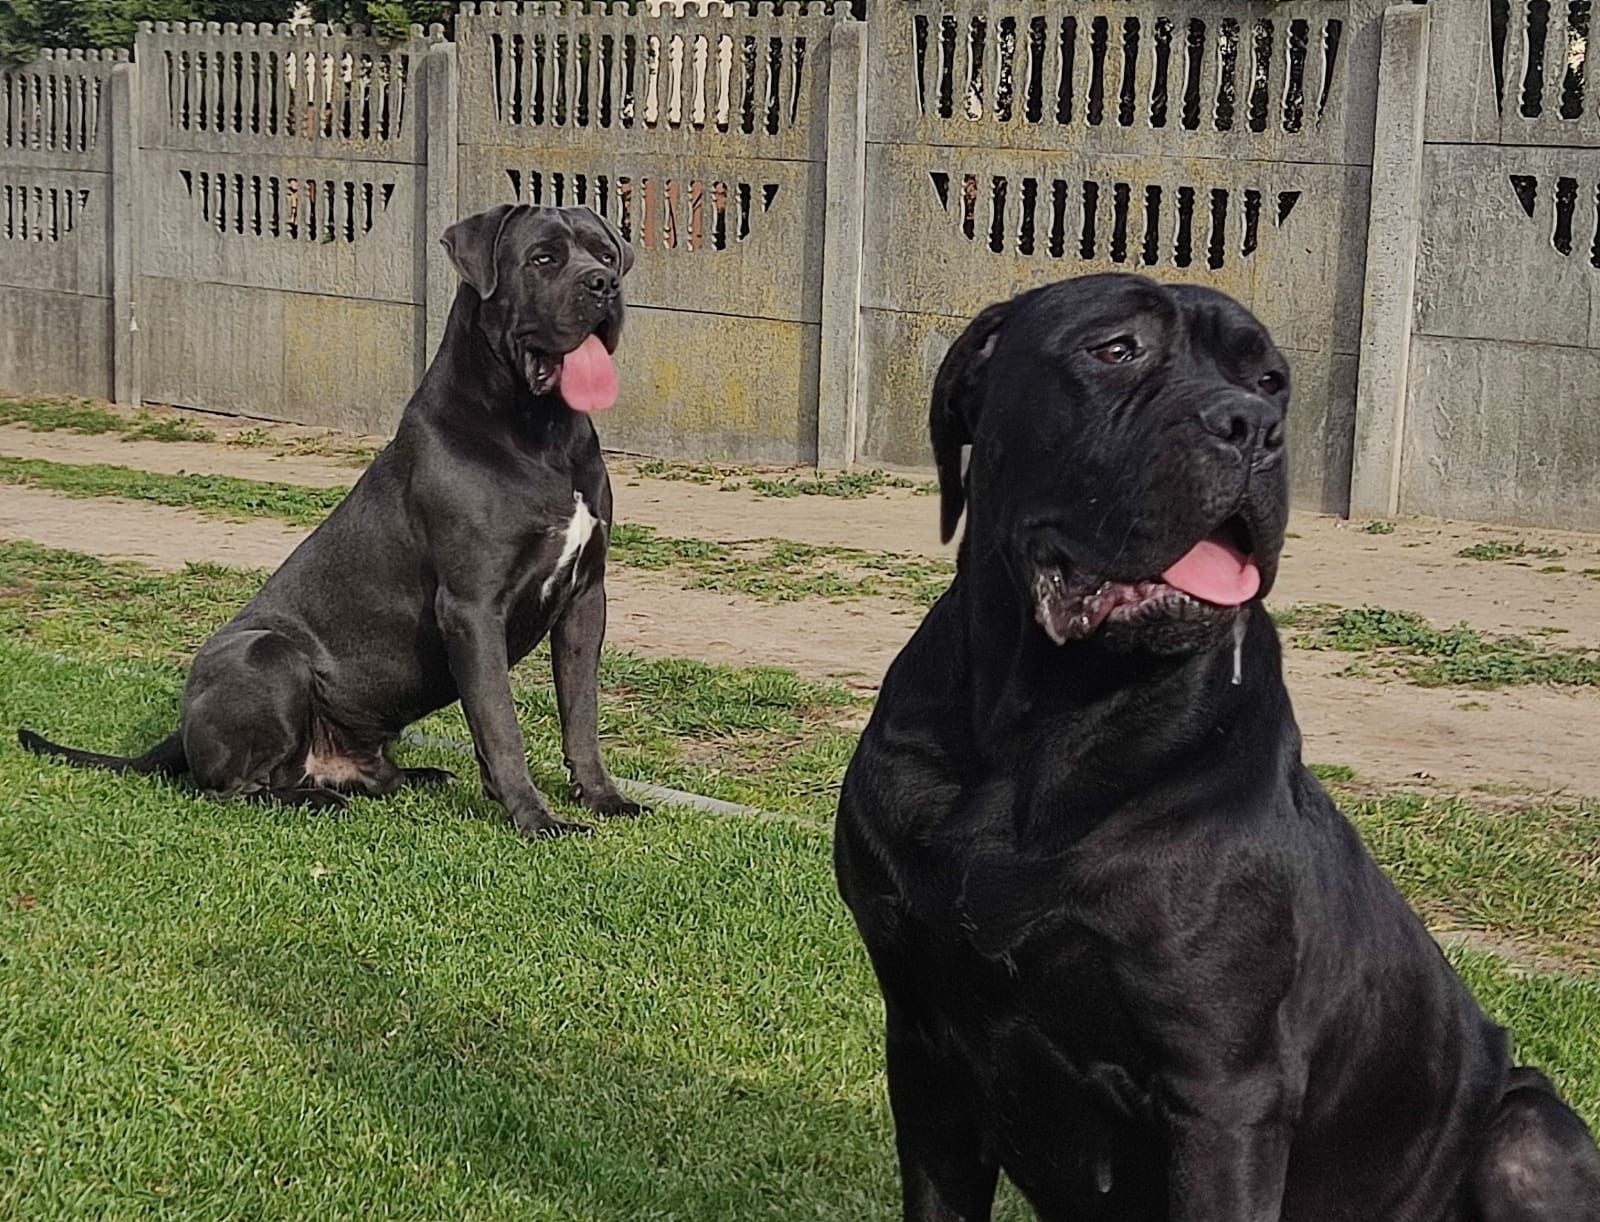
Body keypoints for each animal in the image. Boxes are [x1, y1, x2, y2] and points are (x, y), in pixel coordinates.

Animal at [18, 207, 643, 838]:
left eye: (604, 253)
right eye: (543, 258)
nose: (605, 285)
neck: (542, 432)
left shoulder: (585, 597)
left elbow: (580, 714)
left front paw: (601, 797)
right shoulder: (472, 606)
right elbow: (501, 723)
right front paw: (535, 819)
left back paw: (414, 776)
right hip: (266, 655)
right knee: (233, 788)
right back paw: (315, 800)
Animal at [832, 271, 1600, 1215]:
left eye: (1270, 381)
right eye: (1115, 348)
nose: (1253, 426)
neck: (1039, 729)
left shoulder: (1223, 1092)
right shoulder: (926, 1050)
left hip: (1527, 1134)